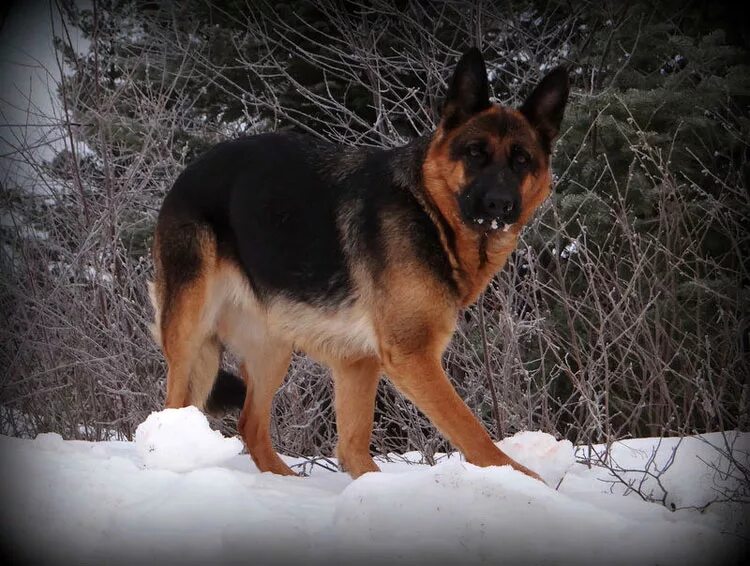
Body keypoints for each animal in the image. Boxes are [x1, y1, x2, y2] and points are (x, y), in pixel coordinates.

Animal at [150, 50, 572, 484]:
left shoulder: (358, 360)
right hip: (191, 329)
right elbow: (472, 431)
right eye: (475, 152)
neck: (430, 212)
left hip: (273, 344)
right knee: (174, 406)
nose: (499, 205)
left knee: (251, 425)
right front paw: (527, 483)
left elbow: (353, 447)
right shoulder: (412, 356)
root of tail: (190, 169)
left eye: (521, 160)